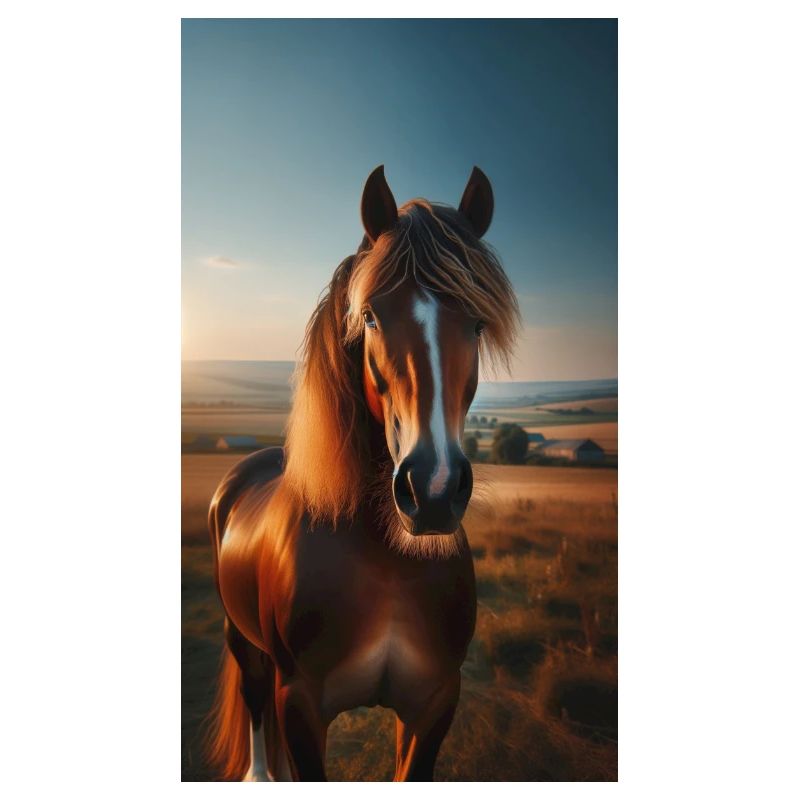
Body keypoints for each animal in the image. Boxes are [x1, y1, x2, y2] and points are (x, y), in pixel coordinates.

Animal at [204, 165, 520, 781]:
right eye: (370, 316)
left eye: (476, 324)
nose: (432, 490)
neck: (388, 559)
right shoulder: (300, 705)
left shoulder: (434, 704)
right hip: (240, 641)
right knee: (255, 708)